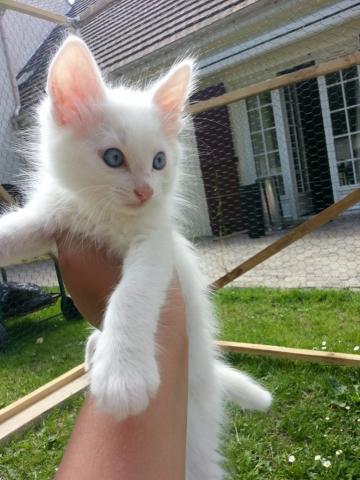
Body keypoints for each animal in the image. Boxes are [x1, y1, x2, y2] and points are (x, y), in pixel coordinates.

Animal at [0, 35, 270, 478]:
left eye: (160, 161)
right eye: (113, 157)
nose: (146, 191)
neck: (102, 214)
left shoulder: (156, 245)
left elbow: (132, 295)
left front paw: (122, 375)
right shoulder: (52, 221)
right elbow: (14, 233)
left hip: (195, 446)